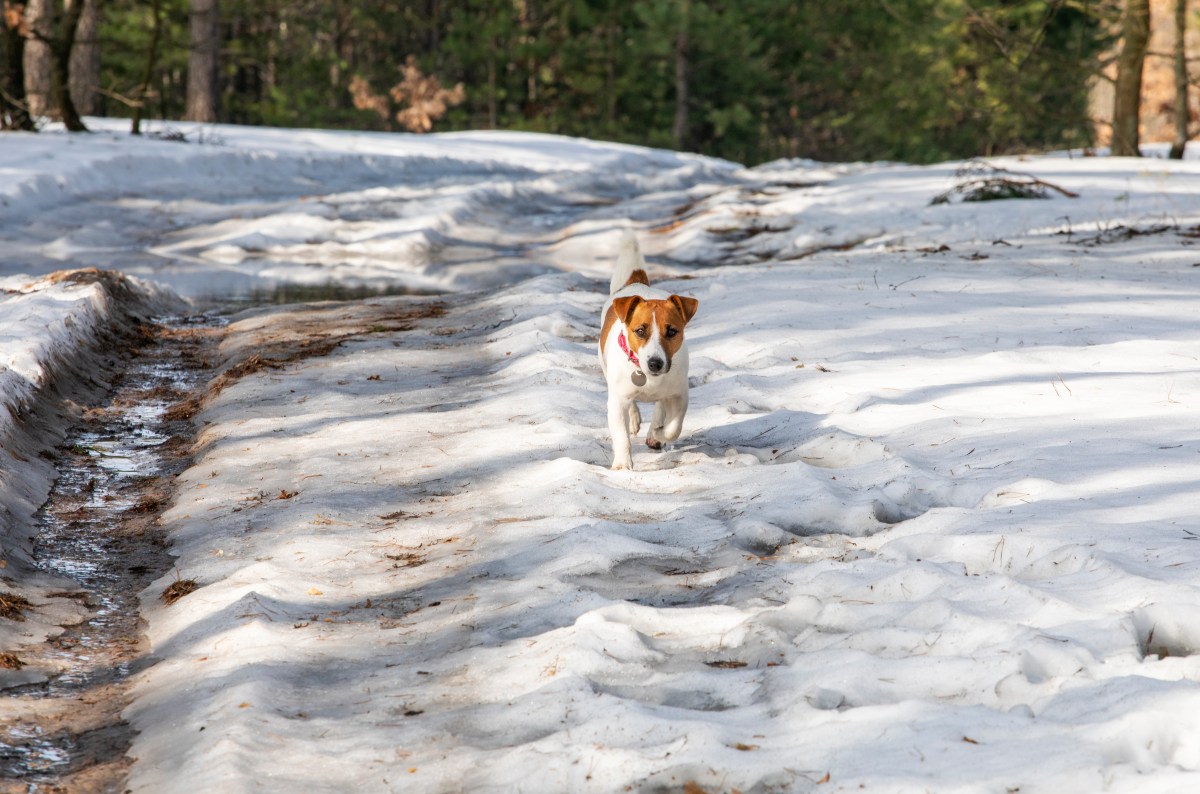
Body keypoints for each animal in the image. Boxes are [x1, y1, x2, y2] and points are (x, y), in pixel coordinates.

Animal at [597, 230, 700, 470]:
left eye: (671, 331)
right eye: (640, 330)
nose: (655, 363)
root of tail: (636, 283)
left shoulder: (680, 395)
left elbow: (673, 428)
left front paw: (658, 434)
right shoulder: (616, 402)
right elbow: (621, 435)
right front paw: (622, 465)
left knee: (660, 406)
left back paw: (654, 430)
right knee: (632, 408)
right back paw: (635, 420)